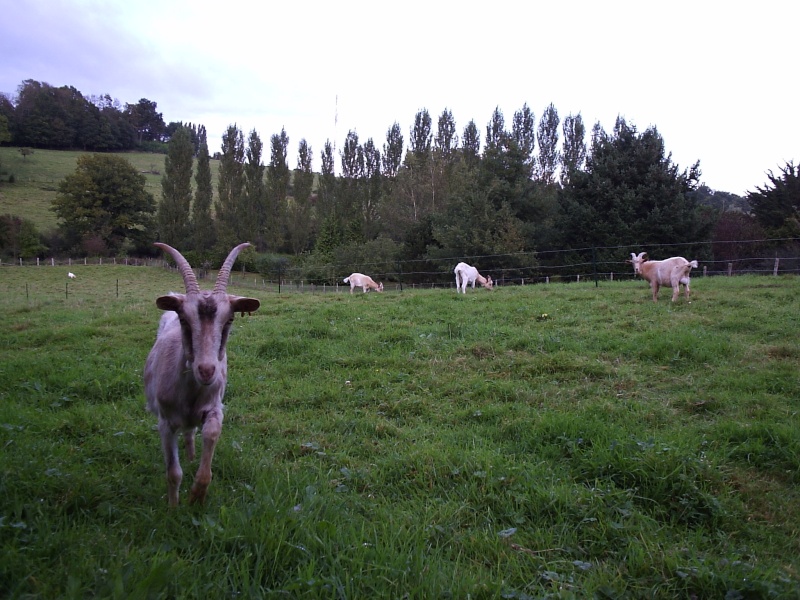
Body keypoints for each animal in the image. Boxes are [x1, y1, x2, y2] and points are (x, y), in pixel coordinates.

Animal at [142, 241, 258, 504]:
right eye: (184, 319)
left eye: (229, 319)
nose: (206, 370)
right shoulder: (165, 422)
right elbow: (173, 473)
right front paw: (173, 507)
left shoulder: (214, 407)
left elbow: (211, 433)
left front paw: (197, 493)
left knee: (190, 431)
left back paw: (192, 455)